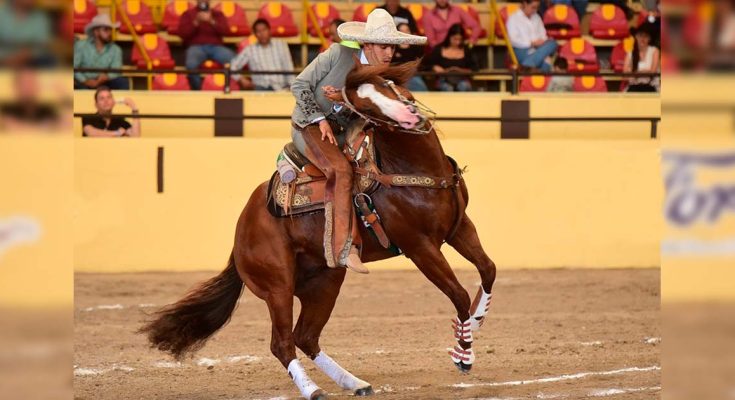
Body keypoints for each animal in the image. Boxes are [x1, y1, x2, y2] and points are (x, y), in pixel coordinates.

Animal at [141, 61, 498, 398]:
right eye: (364, 108)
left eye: (387, 83)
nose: (409, 117)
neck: (415, 168)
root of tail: (242, 229)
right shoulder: (419, 246)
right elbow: (458, 293)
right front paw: (463, 354)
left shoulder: (459, 227)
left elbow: (488, 269)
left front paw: (477, 321)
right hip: (278, 287)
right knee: (282, 343)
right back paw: (313, 390)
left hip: (325, 281)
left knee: (306, 337)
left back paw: (354, 382)